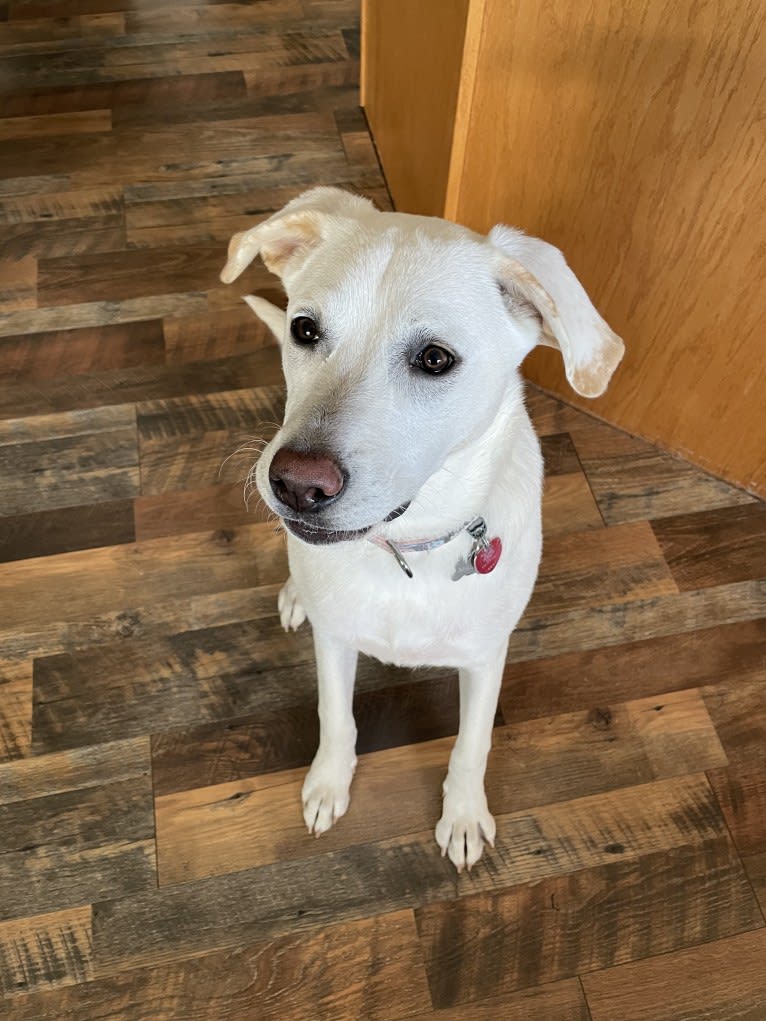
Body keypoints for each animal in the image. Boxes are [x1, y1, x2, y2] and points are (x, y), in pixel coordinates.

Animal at [217, 189, 625, 869]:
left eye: (435, 359)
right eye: (304, 329)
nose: (297, 485)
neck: (407, 550)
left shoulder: (486, 657)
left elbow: (472, 744)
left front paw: (462, 816)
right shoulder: (335, 642)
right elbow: (336, 716)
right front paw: (329, 783)